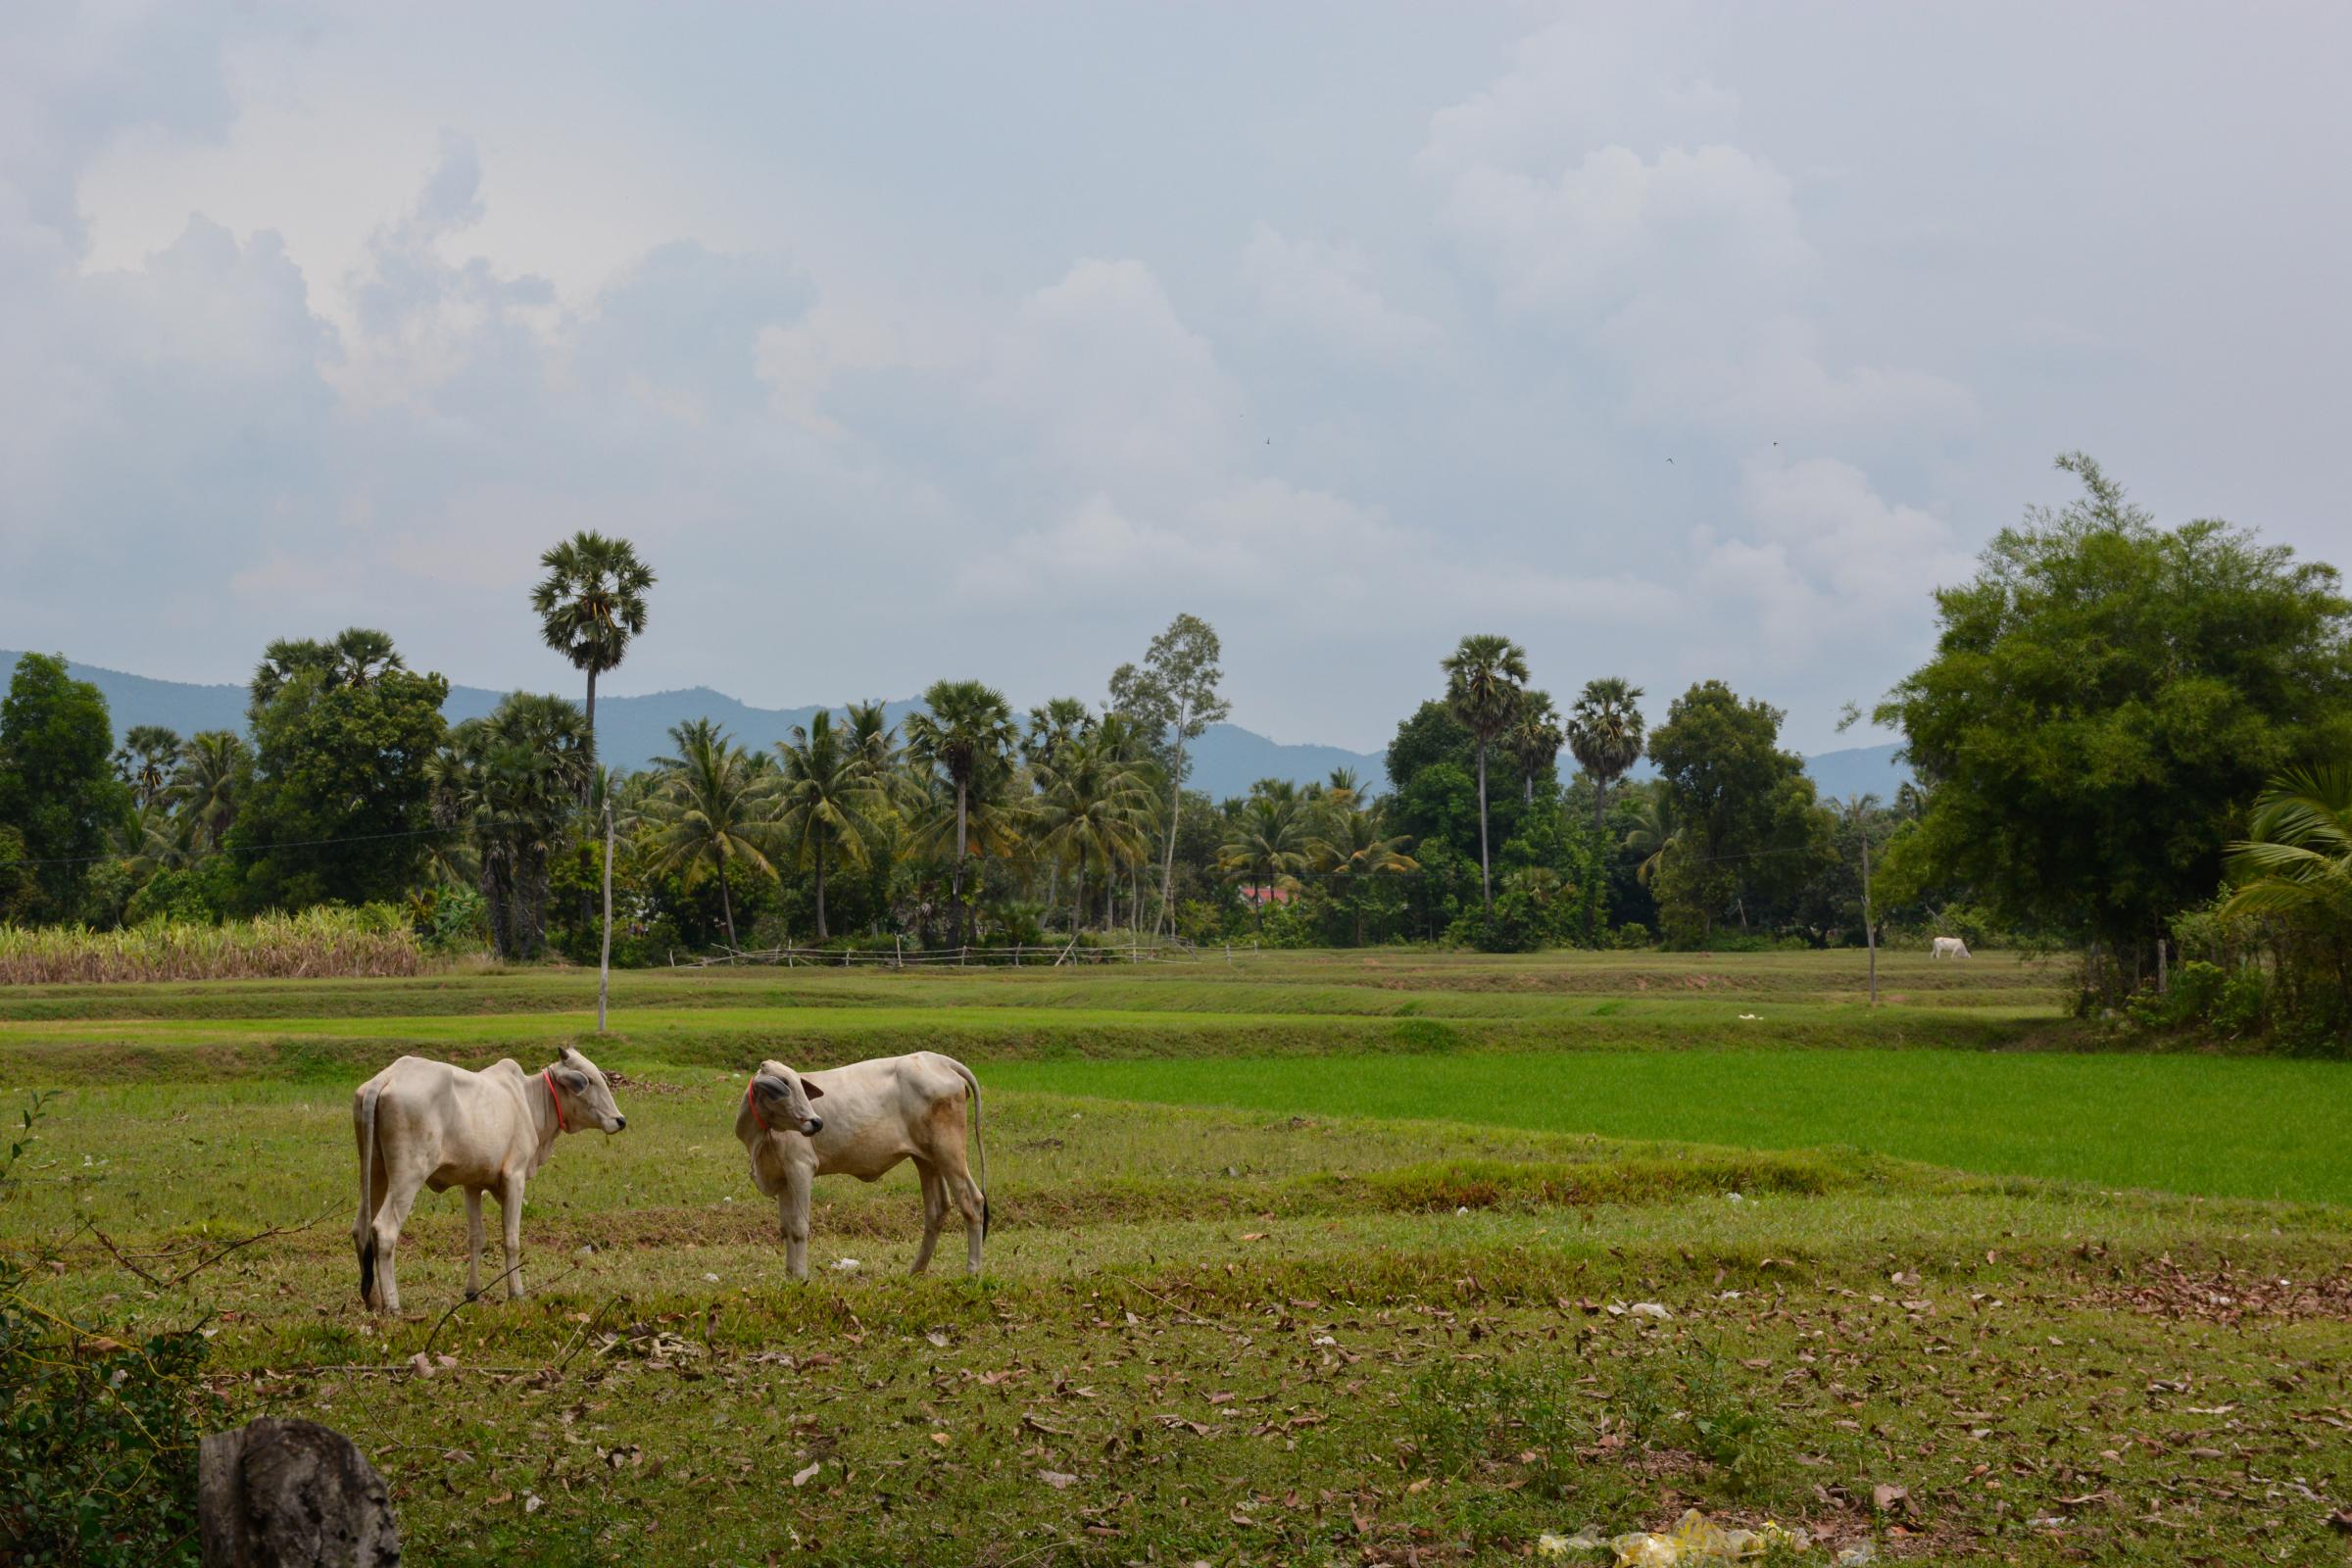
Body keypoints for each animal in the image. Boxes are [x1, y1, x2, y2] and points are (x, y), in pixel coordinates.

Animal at [733, 1053, 992, 1278]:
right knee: (937, 1208)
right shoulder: (783, 1179)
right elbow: (786, 1227)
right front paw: (789, 1276)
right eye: (784, 1084)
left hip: (949, 1152)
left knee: (972, 1201)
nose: (816, 1122)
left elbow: (798, 1226)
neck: (759, 1138)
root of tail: (939, 1060)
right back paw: (915, 1272)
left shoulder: (800, 1167)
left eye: (798, 1084)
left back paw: (972, 1270)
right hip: (926, 1159)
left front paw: (800, 1277)